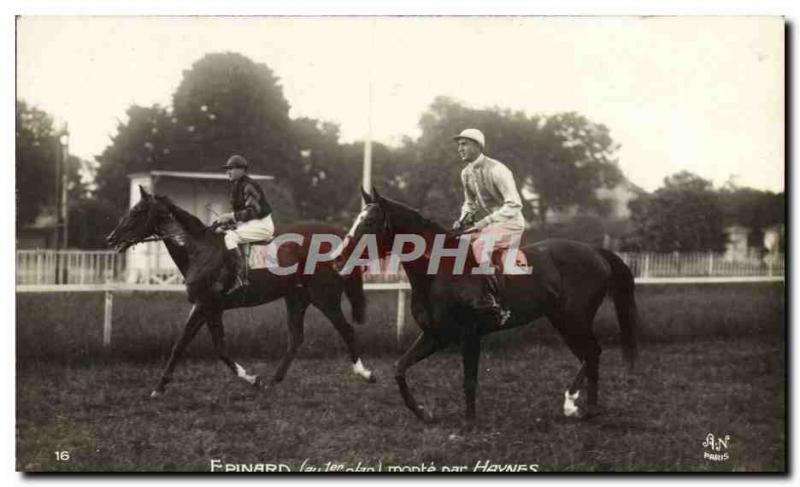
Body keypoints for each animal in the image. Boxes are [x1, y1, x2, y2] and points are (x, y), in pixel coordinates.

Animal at [105, 185, 376, 398]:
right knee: (296, 338)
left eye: (137, 212)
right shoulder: (202, 306)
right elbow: (181, 345)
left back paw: (365, 373)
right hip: (296, 298)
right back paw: (273, 381)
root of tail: (341, 237)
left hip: (324, 297)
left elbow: (218, 349)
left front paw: (251, 378)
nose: (111, 238)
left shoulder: (209, 306)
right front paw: (159, 387)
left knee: (347, 330)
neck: (199, 250)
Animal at [332, 189, 636, 426]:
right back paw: (583, 407)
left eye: (370, 221)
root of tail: (595, 251)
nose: (338, 259)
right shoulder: (435, 336)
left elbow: (469, 379)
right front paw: (423, 413)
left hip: (574, 320)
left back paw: (576, 404)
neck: (439, 272)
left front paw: (469, 422)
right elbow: (399, 368)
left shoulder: (469, 335)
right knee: (589, 355)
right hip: (562, 320)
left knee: (592, 352)